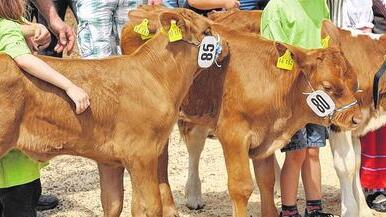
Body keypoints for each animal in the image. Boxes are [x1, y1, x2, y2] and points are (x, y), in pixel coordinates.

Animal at [0, 10, 228, 217]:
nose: (226, 44)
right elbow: (151, 206)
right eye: (206, 30)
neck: (156, 77)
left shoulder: (109, 160)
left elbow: (116, 203)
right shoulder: (142, 154)